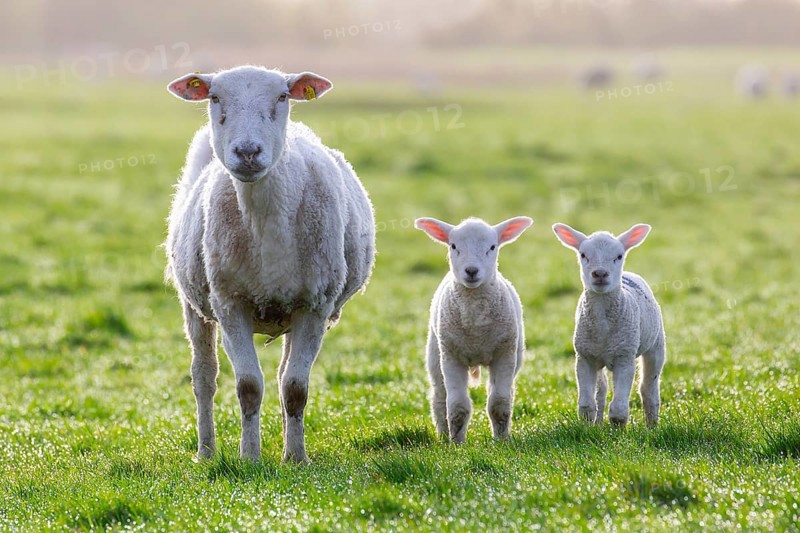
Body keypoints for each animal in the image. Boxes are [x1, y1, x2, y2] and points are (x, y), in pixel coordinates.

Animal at [165, 66, 375, 463]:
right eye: (214, 97)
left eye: (282, 97)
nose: (247, 152)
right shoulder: (229, 304)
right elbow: (248, 387)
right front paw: (249, 457)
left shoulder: (315, 306)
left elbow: (294, 388)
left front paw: (296, 458)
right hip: (193, 303)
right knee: (204, 378)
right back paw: (206, 451)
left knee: (281, 377)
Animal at [415, 216, 532, 443]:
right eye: (453, 246)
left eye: (492, 247)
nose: (471, 271)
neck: (475, 329)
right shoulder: (451, 356)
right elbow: (457, 407)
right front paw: (457, 443)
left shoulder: (504, 353)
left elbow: (499, 404)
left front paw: (501, 441)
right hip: (435, 355)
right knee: (439, 397)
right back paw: (443, 435)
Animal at [552, 223, 665, 428]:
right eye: (583, 255)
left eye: (618, 256)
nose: (600, 273)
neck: (603, 327)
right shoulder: (584, 357)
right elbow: (587, 404)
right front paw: (588, 427)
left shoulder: (624, 357)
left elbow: (619, 408)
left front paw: (618, 429)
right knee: (601, 390)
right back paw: (599, 424)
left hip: (656, 344)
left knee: (648, 387)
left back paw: (651, 426)